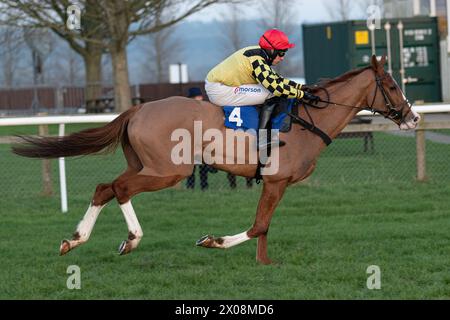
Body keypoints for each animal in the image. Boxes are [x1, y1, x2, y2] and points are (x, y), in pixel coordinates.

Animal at [12, 56, 420, 264]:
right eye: (393, 85)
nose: (413, 117)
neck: (308, 120)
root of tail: (138, 109)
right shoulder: (275, 180)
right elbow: (258, 226)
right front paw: (213, 241)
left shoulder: (277, 184)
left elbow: (263, 228)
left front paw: (263, 263)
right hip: (168, 170)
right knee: (120, 188)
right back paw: (131, 239)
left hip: (144, 164)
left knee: (104, 187)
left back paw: (75, 240)